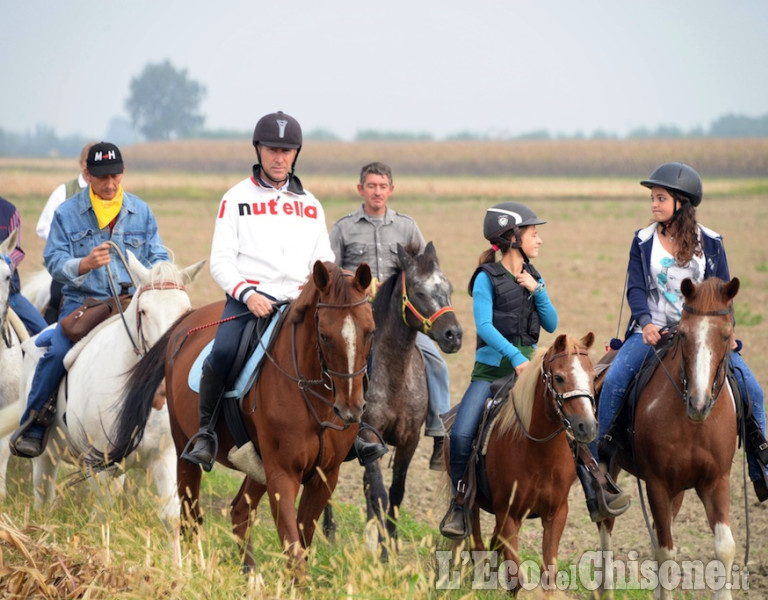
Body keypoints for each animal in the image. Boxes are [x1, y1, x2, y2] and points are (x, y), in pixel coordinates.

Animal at [0, 251, 206, 524]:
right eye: (143, 312)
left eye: (186, 312)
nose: (163, 378)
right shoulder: (99, 466)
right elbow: (104, 515)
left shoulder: (163, 458)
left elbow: (171, 516)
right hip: (45, 456)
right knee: (43, 498)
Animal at [89, 262, 376, 572]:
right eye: (324, 335)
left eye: (370, 332)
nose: (350, 409)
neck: (313, 399)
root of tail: (185, 322)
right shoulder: (282, 474)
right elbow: (294, 551)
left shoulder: (324, 477)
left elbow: (301, 543)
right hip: (184, 449)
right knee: (190, 517)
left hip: (257, 465)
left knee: (239, 512)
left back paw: (249, 573)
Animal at [456, 336, 600, 592]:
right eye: (559, 377)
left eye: (593, 377)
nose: (588, 426)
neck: (539, 455)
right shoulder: (507, 513)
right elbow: (516, 576)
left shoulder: (556, 513)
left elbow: (548, 574)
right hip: (472, 505)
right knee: (478, 545)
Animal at [596, 278, 740, 600]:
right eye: (684, 334)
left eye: (726, 335)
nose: (699, 403)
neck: (693, 425)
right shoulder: (657, 484)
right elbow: (665, 552)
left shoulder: (717, 480)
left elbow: (724, 548)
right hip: (610, 468)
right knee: (606, 523)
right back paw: (605, 589)